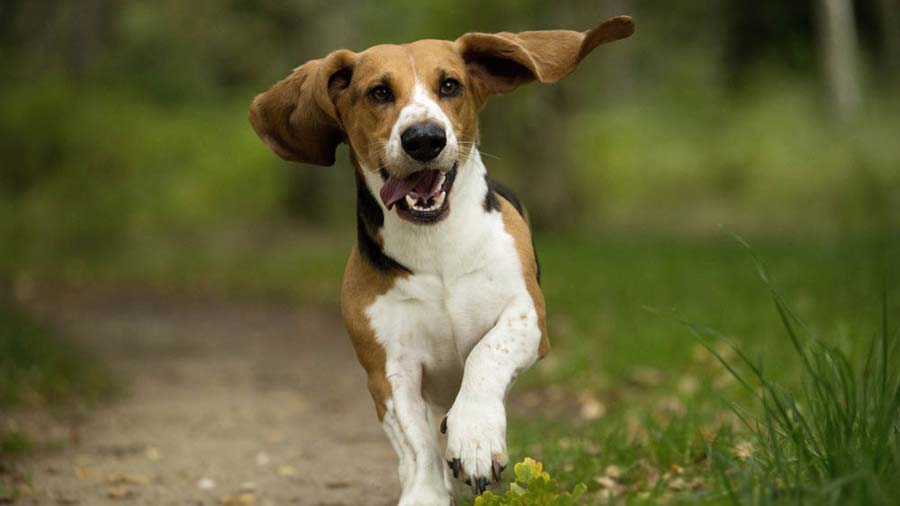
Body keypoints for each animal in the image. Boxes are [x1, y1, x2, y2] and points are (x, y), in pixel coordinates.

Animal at [250, 13, 636, 504]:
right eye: (379, 92)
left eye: (450, 85)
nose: (424, 138)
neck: (434, 245)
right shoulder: (388, 369)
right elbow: (416, 443)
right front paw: (426, 491)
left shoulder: (528, 318)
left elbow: (486, 355)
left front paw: (475, 436)